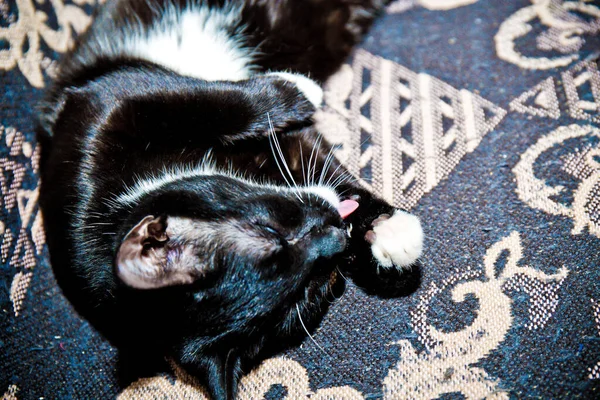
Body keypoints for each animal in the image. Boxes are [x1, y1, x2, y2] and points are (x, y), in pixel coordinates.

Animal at [38, 1, 422, 398]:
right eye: (312, 290)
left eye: (270, 229)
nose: (335, 232)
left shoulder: (99, 110)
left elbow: (205, 102)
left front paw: (299, 90)